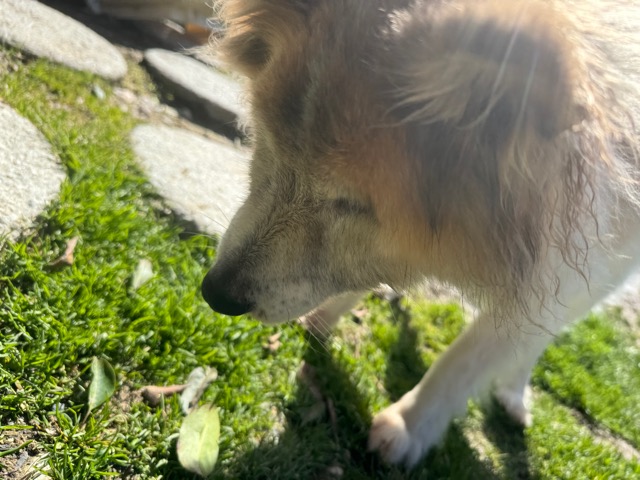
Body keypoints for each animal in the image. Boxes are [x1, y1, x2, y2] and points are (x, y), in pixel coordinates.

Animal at [201, 0, 640, 467]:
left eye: (350, 204)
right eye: (268, 143)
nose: (214, 293)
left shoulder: (577, 263)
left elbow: (469, 357)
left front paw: (408, 425)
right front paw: (328, 315)